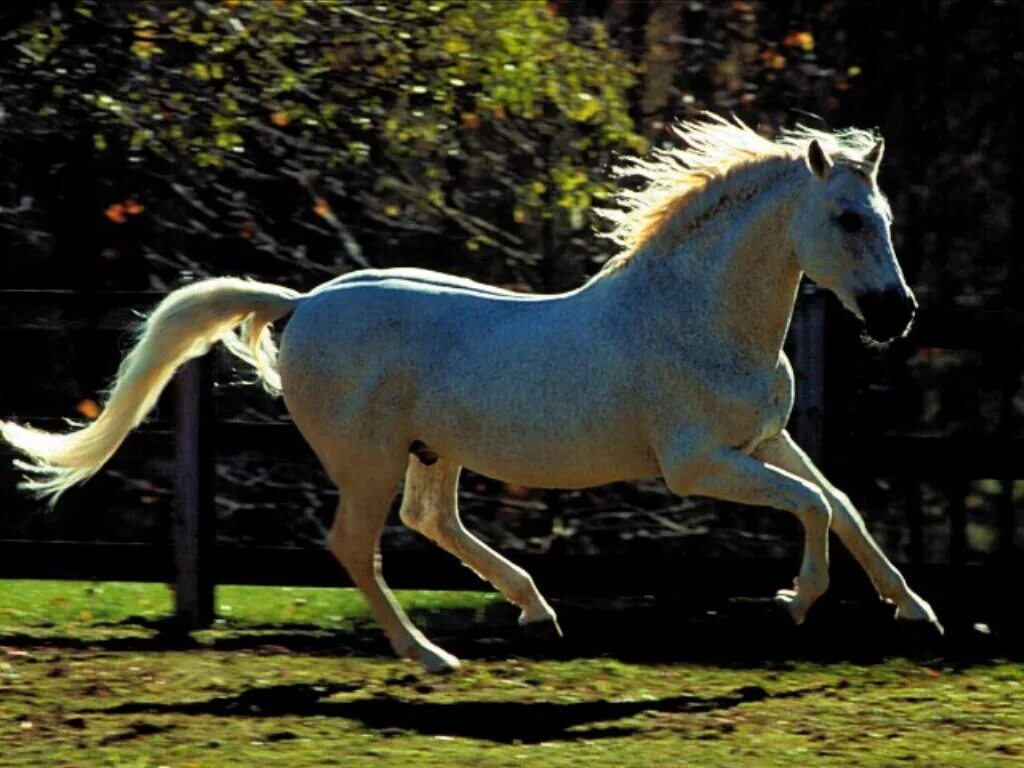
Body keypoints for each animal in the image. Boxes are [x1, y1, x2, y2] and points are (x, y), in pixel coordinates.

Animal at [2, 115, 942, 671]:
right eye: (848, 219)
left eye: (887, 217)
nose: (896, 315)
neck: (696, 315)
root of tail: (300, 304)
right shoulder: (699, 465)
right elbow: (813, 508)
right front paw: (796, 602)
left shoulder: (764, 441)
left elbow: (844, 506)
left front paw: (917, 612)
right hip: (368, 461)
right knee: (356, 545)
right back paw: (432, 657)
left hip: (434, 452)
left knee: (431, 522)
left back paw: (535, 611)